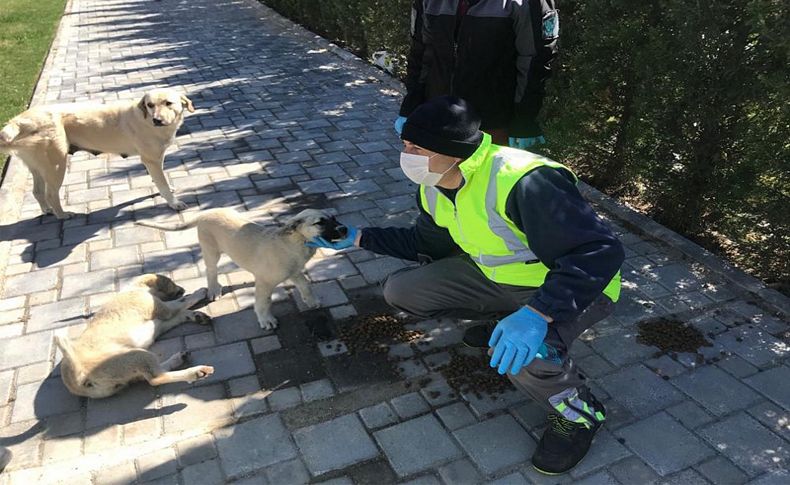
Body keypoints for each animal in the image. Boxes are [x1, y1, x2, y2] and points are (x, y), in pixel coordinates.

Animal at [0, 87, 196, 217]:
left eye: (168, 103)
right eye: (150, 105)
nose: (157, 120)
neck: (146, 120)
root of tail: (19, 120)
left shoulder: (156, 159)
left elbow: (160, 180)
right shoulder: (151, 160)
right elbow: (162, 184)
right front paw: (173, 203)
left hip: (38, 167)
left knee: (37, 192)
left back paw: (48, 210)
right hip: (56, 166)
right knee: (50, 193)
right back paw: (62, 215)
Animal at [55, 272, 213, 398]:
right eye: (171, 283)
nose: (183, 289)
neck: (135, 288)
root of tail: (77, 378)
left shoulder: (158, 324)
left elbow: (179, 315)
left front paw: (195, 316)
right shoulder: (165, 309)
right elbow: (184, 301)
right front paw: (200, 292)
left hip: (129, 371)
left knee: (150, 375)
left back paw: (179, 359)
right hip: (135, 356)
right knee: (156, 379)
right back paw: (196, 372)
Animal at [139, 207, 350, 328]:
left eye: (334, 218)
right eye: (320, 222)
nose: (344, 229)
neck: (294, 243)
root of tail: (204, 213)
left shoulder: (295, 271)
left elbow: (305, 285)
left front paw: (311, 301)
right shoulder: (265, 282)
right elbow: (263, 302)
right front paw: (266, 320)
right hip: (211, 250)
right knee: (211, 271)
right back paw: (213, 289)